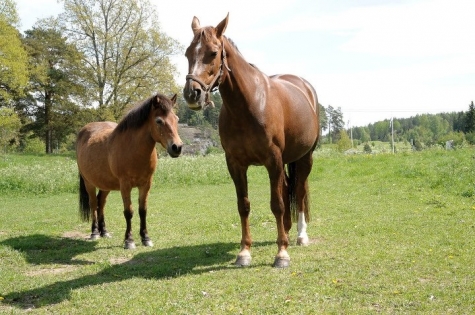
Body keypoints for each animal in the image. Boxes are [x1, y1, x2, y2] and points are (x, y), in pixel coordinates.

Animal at [77, 93, 183, 249]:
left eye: (176, 119)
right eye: (159, 121)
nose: (177, 147)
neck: (133, 149)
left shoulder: (146, 184)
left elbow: (142, 210)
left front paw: (146, 238)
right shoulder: (125, 185)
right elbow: (129, 212)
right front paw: (129, 240)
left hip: (105, 185)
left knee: (101, 203)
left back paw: (104, 232)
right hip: (88, 183)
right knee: (93, 204)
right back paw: (95, 232)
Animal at [184, 13, 322, 268]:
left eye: (213, 53)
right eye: (188, 53)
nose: (192, 94)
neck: (248, 105)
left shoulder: (272, 160)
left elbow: (276, 205)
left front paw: (281, 254)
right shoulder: (235, 164)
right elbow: (244, 206)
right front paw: (244, 252)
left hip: (304, 158)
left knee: (298, 191)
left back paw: (300, 235)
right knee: (287, 189)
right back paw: (286, 230)